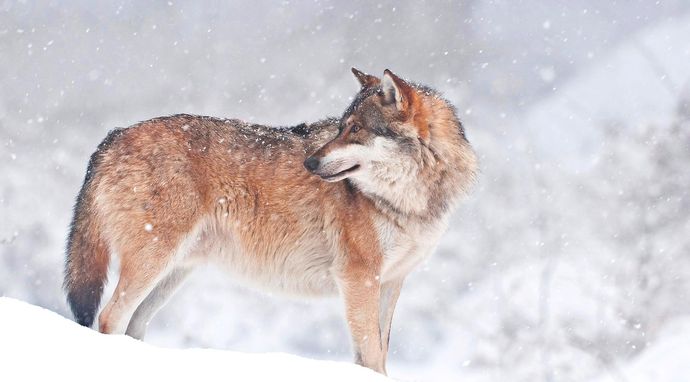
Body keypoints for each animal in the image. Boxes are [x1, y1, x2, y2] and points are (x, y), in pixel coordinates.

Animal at [63, 68, 472, 374]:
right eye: (342, 127)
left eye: (355, 129)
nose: (310, 162)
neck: (409, 202)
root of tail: (112, 137)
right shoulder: (359, 278)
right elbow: (370, 355)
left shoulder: (391, 282)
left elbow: (381, 354)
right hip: (151, 263)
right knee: (108, 318)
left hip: (171, 275)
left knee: (133, 326)